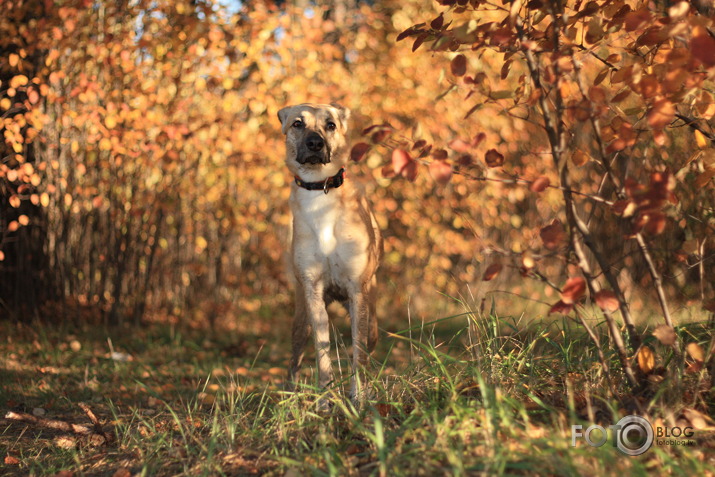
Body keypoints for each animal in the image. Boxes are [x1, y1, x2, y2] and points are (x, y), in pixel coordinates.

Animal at [276, 102, 384, 404]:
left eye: (331, 125)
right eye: (298, 123)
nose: (315, 143)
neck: (320, 191)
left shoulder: (357, 291)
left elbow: (358, 353)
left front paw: (358, 397)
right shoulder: (312, 291)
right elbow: (322, 351)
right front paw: (325, 398)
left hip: (371, 317)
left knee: (368, 347)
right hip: (300, 318)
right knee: (295, 358)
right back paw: (290, 397)